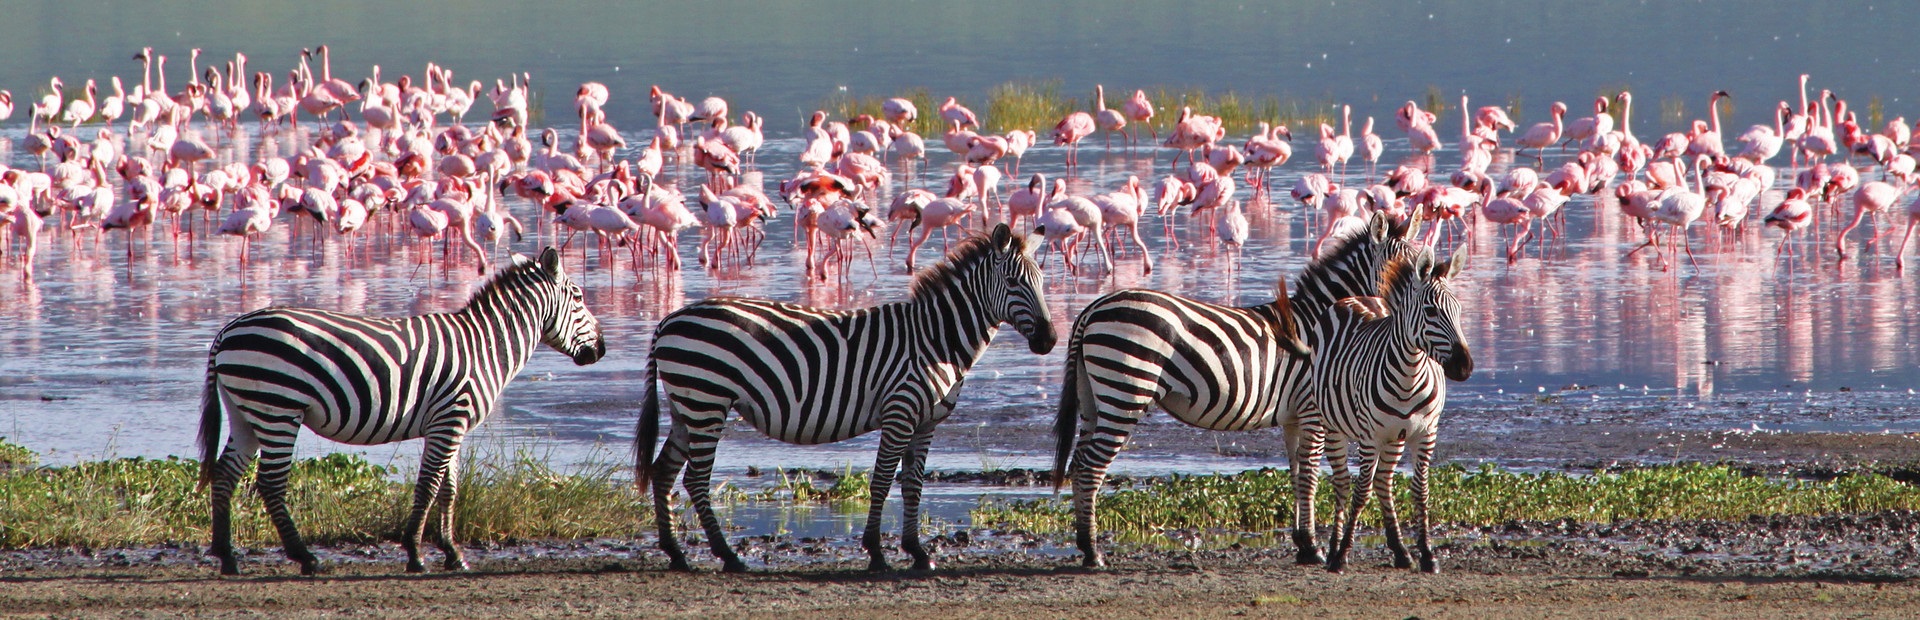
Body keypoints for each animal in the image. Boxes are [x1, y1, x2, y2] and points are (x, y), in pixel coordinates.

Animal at [193, 249, 599, 579]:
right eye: (579, 297)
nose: (602, 350)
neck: (484, 345)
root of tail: (228, 330)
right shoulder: (449, 419)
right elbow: (429, 485)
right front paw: (416, 554)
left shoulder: (452, 424)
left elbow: (450, 489)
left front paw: (452, 554)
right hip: (279, 407)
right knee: (270, 482)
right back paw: (304, 557)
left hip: (247, 410)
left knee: (225, 475)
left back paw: (227, 558)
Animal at [641, 223, 1067, 572]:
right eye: (1013, 282)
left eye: (1042, 281)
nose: (1049, 340)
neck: (935, 340)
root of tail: (669, 320)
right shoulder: (899, 413)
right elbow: (882, 481)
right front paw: (877, 553)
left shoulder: (925, 422)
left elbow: (913, 485)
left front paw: (917, 552)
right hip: (706, 401)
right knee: (695, 479)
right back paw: (728, 556)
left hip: (686, 406)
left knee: (663, 471)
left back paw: (676, 553)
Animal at [1052, 211, 1428, 572]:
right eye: (1401, 270)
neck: (1324, 324)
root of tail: (1092, 309)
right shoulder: (1312, 411)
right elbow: (1309, 475)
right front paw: (1314, 547)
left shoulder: (1294, 416)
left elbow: (1296, 472)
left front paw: (1302, 544)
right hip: (1126, 390)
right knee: (1091, 466)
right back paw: (1094, 553)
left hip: (1093, 398)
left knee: (1079, 462)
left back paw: (1086, 546)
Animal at [1313, 245, 1474, 575]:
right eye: (1431, 311)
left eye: (1459, 310)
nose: (1464, 367)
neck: (1409, 375)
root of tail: (1358, 297)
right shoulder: (1370, 437)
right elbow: (1360, 491)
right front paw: (1342, 554)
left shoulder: (1426, 433)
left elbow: (1420, 490)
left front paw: (1427, 554)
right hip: (1333, 427)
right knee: (1342, 483)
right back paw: (1334, 548)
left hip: (1395, 437)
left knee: (1383, 482)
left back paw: (1400, 551)